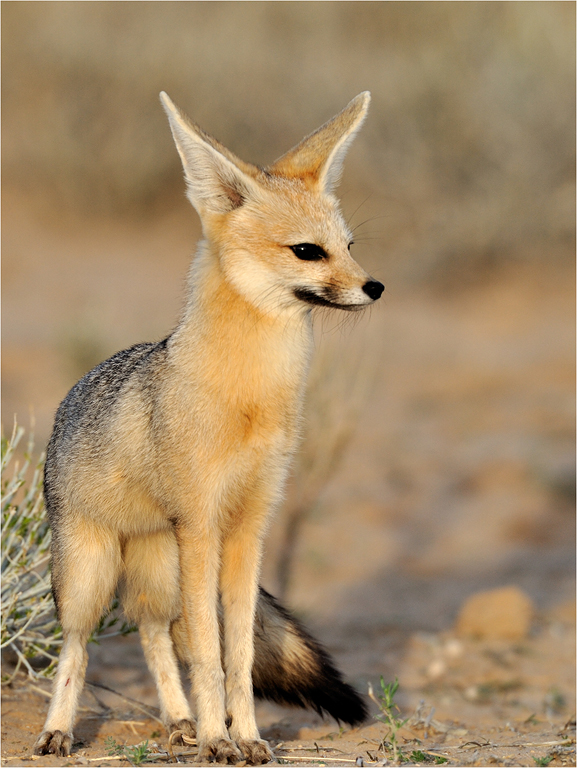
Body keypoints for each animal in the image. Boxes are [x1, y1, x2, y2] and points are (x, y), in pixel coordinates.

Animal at [34, 90, 384, 764]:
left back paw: (178, 722)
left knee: (151, 634)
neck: (247, 398)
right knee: (77, 646)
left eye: (351, 244)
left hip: (160, 569)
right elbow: (209, 655)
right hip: (91, 574)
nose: (375, 286)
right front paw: (220, 739)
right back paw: (60, 730)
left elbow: (236, 653)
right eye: (309, 251)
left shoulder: (249, 527)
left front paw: (243, 736)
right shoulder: (201, 524)